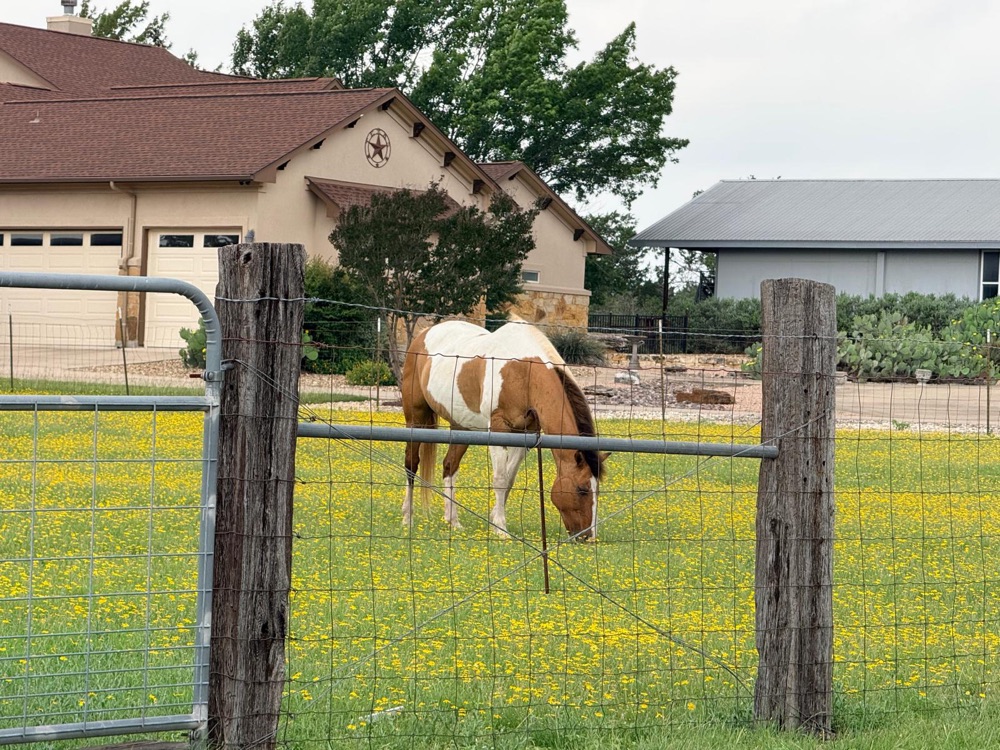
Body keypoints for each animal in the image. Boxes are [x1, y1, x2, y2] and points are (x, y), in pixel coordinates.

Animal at [400, 319, 608, 540]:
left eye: (598, 491)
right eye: (582, 489)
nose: (589, 537)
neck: (523, 372)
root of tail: (423, 334)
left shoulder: (525, 435)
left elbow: (508, 479)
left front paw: (494, 522)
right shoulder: (498, 430)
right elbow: (499, 479)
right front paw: (501, 529)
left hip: (461, 427)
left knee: (449, 466)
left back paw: (453, 521)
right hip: (415, 419)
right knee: (411, 464)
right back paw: (407, 518)